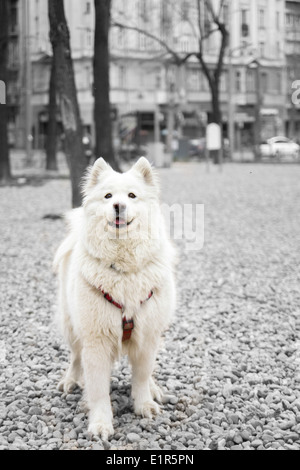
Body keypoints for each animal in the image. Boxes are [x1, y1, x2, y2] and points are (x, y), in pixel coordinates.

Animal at [53, 158, 176, 440]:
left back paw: (154, 389)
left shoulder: (147, 334)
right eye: (108, 196)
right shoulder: (96, 339)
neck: (123, 269)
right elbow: (98, 390)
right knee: (75, 357)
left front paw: (144, 405)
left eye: (131, 196)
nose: (118, 206)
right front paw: (100, 424)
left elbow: (141, 376)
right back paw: (70, 381)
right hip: (72, 325)